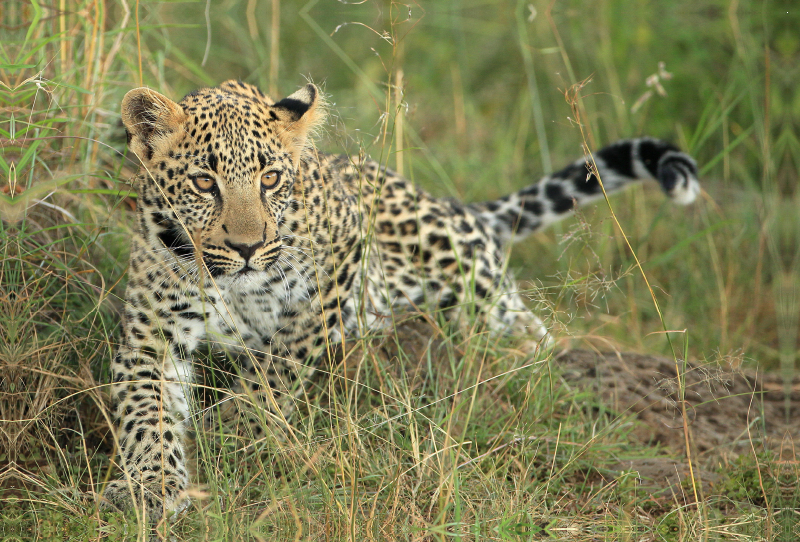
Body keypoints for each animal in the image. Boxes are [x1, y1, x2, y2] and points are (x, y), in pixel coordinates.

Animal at [101, 78, 700, 520]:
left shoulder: (341, 259)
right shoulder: (152, 334)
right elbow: (145, 413)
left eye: (270, 178)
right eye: (204, 183)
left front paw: (234, 439)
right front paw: (150, 487)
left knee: (532, 337)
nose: (248, 248)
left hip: (468, 281)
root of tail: (457, 207)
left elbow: (276, 373)